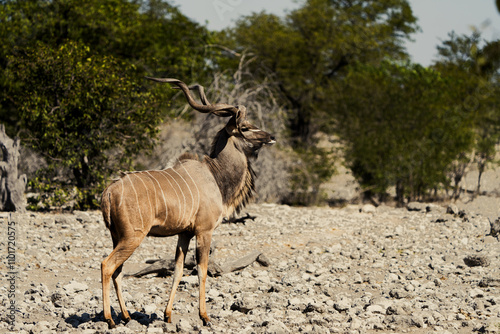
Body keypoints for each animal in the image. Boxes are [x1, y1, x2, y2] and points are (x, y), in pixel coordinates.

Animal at [99, 77, 276, 328]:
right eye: (245, 128)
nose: (271, 136)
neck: (215, 176)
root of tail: (108, 192)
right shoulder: (204, 231)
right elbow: (202, 270)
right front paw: (204, 316)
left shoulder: (184, 233)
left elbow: (178, 270)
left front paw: (168, 315)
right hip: (132, 237)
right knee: (107, 265)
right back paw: (109, 319)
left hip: (118, 237)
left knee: (118, 271)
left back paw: (125, 316)